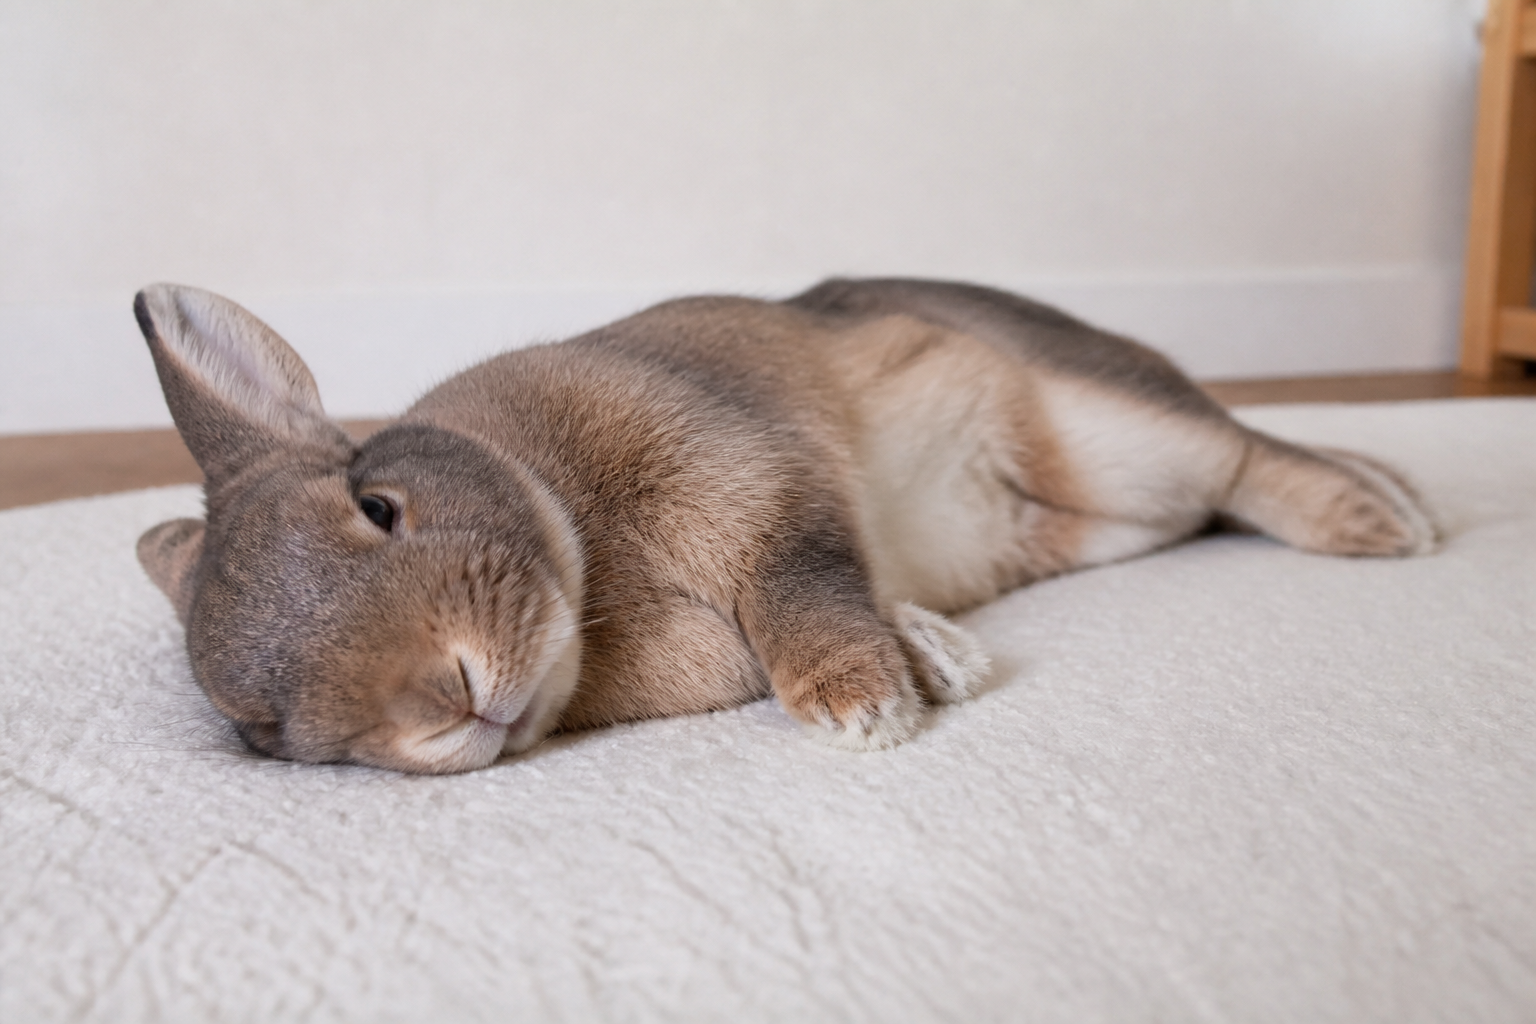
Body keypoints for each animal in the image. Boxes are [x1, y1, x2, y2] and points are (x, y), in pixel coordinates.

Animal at [133, 277, 1437, 774]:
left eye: (378, 506)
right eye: (265, 726)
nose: (443, 701)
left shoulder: (755, 487)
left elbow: (797, 586)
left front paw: (863, 707)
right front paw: (931, 660)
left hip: (1113, 427)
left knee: (1243, 455)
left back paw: (1381, 513)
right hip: (1098, 517)